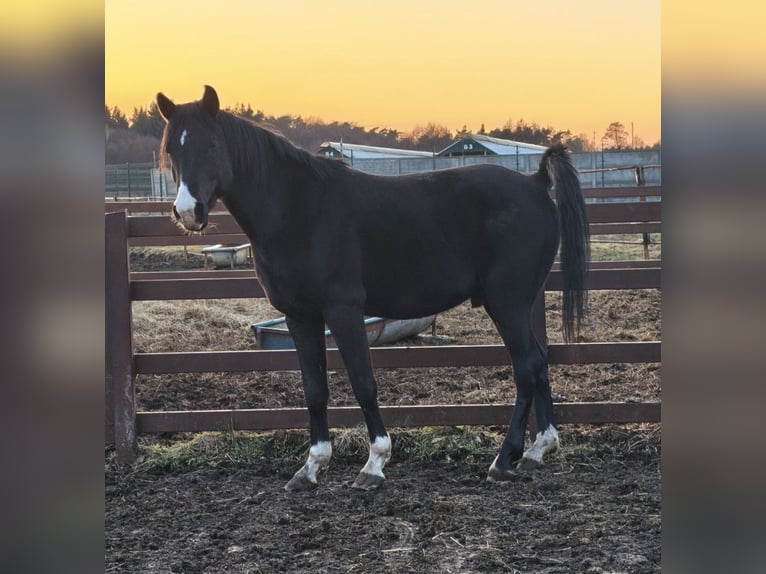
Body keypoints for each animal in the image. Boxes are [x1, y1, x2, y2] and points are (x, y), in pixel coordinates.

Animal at [156, 85, 589, 492]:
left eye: (212, 144)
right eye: (172, 150)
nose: (187, 212)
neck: (300, 210)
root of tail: (535, 182)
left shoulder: (343, 311)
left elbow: (363, 383)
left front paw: (374, 464)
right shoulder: (299, 316)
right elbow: (314, 389)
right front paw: (310, 468)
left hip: (507, 302)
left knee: (526, 367)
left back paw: (504, 459)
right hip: (519, 302)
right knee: (539, 362)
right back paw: (537, 450)